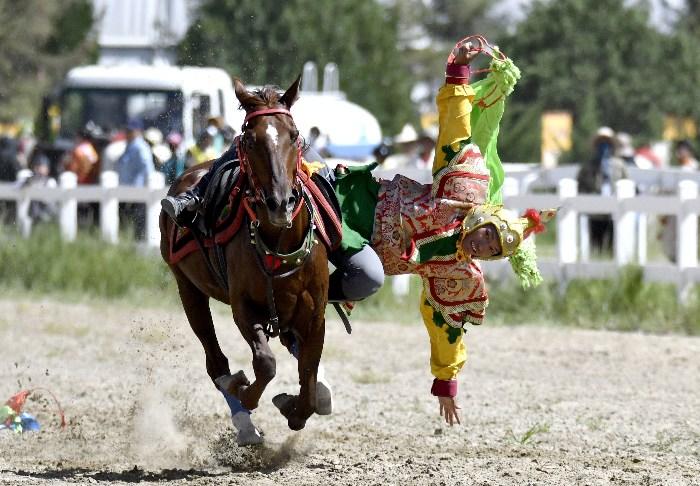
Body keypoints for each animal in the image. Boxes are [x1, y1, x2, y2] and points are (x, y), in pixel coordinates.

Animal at [160, 77, 330, 436]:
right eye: (250, 140)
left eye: (294, 135)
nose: (280, 203)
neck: (280, 243)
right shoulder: (244, 307)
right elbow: (265, 364)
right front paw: (243, 390)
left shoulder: (314, 316)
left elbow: (308, 379)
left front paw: (294, 406)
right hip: (187, 287)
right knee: (215, 361)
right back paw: (242, 417)